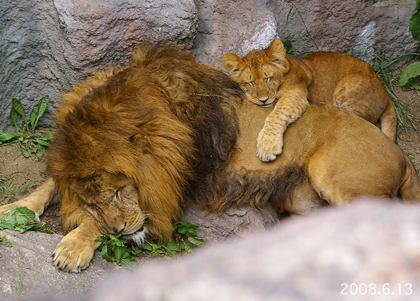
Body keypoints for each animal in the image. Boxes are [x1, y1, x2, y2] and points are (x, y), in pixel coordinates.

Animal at [223, 39, 398, 162]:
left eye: (268, 78)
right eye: (250, 83)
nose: (263, 100)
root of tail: (385, 91)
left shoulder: (296, 94)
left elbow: (276, 114)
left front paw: (267, 146)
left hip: (348, 86)